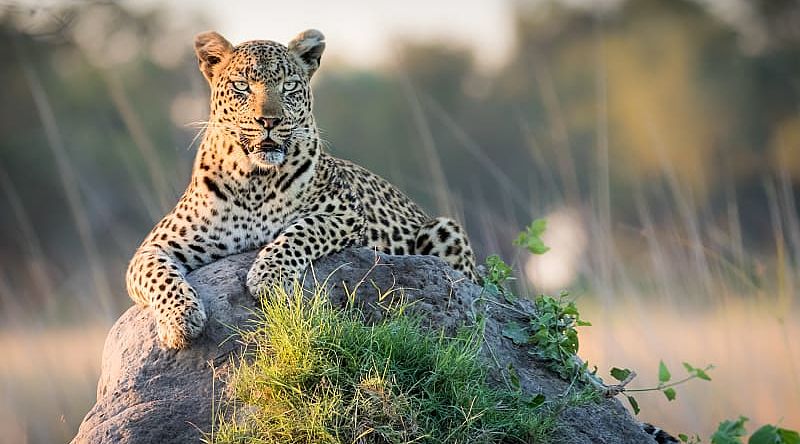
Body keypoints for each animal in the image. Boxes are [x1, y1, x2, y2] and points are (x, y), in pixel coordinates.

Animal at [125, 29, 476, 350]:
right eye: (242, 86)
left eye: (289, 86)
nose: (269, 120)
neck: (254, 178)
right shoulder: (154, 246)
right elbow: (157, 273)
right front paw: (180, 320)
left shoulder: (347, 214)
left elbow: (302, 229)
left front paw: (267, 277)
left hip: (444, 230)